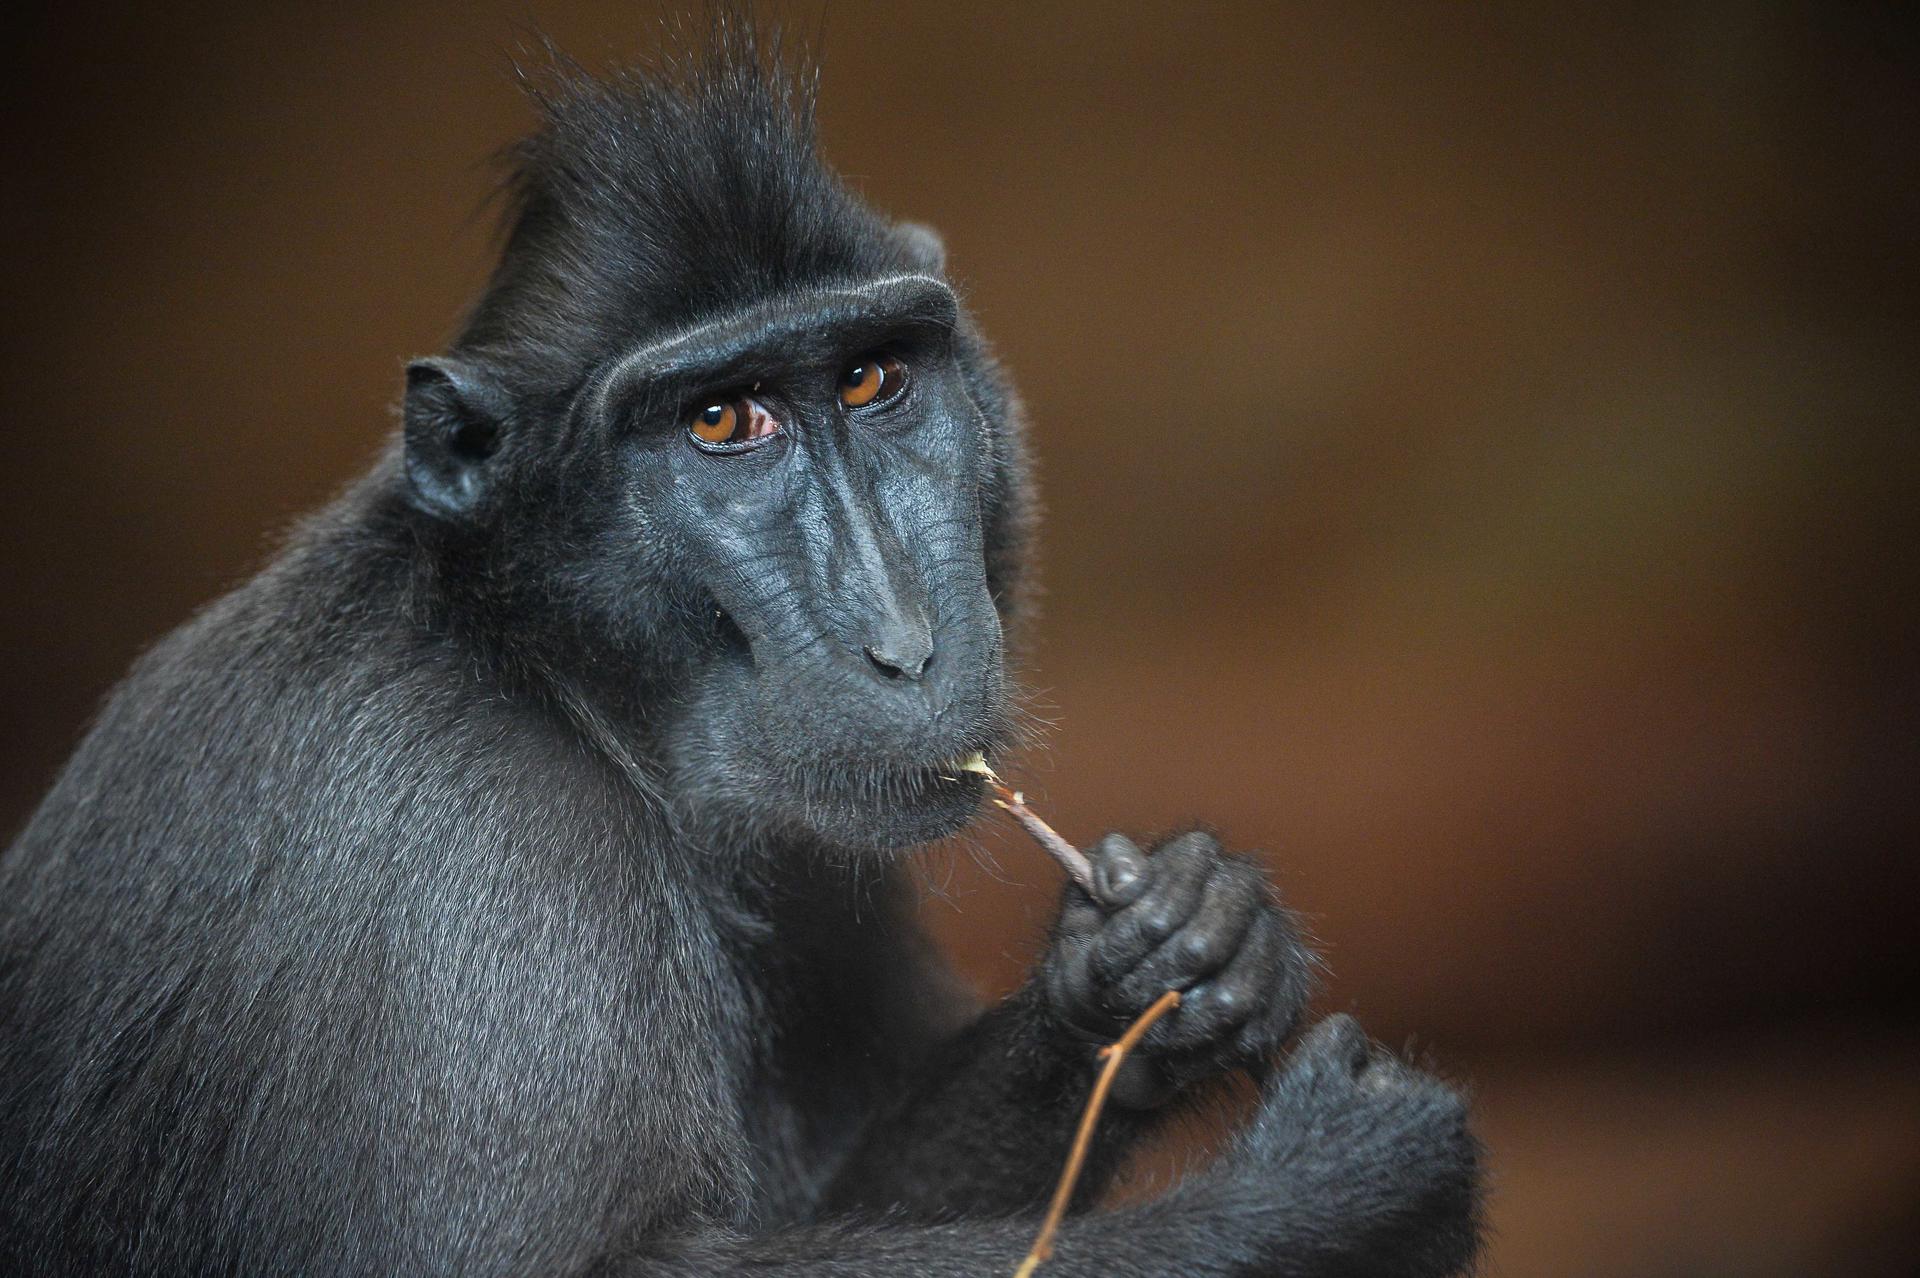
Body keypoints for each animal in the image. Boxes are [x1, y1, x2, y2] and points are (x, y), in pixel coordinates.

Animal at [0, 27, 1481, 1278]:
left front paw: (1175, 938)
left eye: (873, 380)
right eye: (723, 422)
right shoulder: (479, 863)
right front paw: (1335, 1199)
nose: (904, 642)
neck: (553, 681)